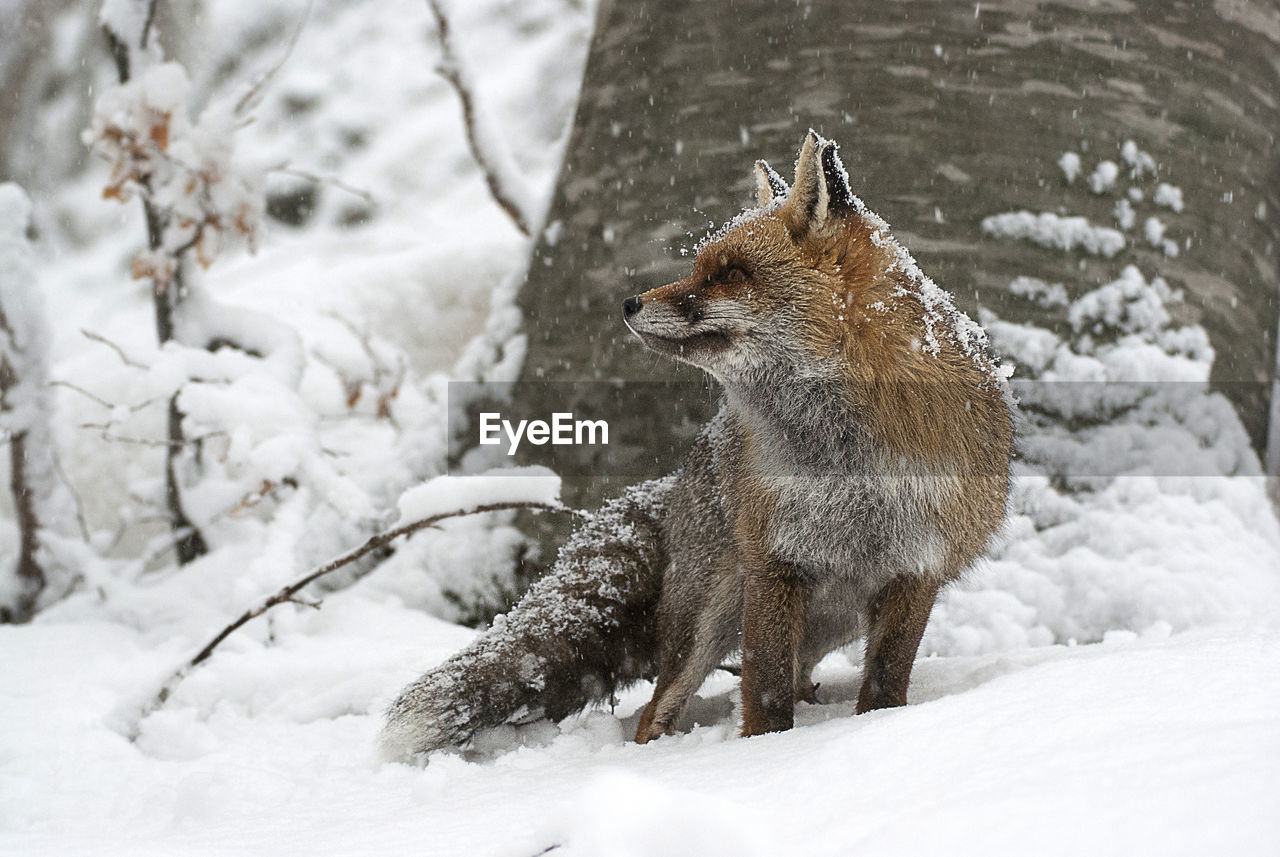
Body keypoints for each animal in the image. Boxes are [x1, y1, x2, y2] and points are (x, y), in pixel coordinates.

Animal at [378, 131, 1008, 762]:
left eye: (729, 273)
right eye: (700, 266)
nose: (629, 303)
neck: (844, 463)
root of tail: (675, 483)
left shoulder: (916, 570)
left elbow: (882, 685)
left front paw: (873, 731)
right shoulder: (775, 563)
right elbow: (765, 693)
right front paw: (763, 756)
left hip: (830, 618)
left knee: (798, 676)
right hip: (710, 618)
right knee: (657, 711)